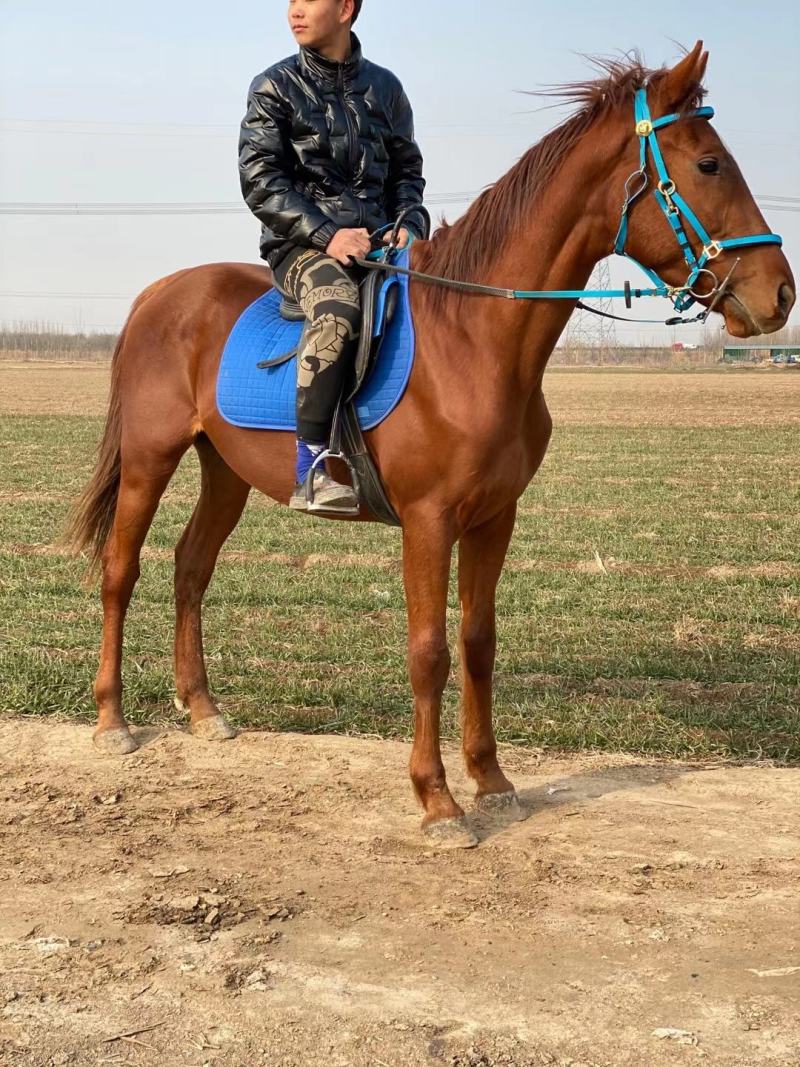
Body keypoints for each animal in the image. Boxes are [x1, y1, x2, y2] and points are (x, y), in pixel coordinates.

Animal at [66, 43, 794, 848]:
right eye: (709, 164)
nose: (780, 294)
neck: (473, 339)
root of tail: (155, 296)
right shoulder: (428, 521)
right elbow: (429, 651)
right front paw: (438, 801)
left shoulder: (493, 518)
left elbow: (478, 641)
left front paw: (492, 780)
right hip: (150, 458)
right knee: (121, 571)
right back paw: (111, 721)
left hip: (225, 470)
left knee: (191, 568)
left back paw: (203, 711)